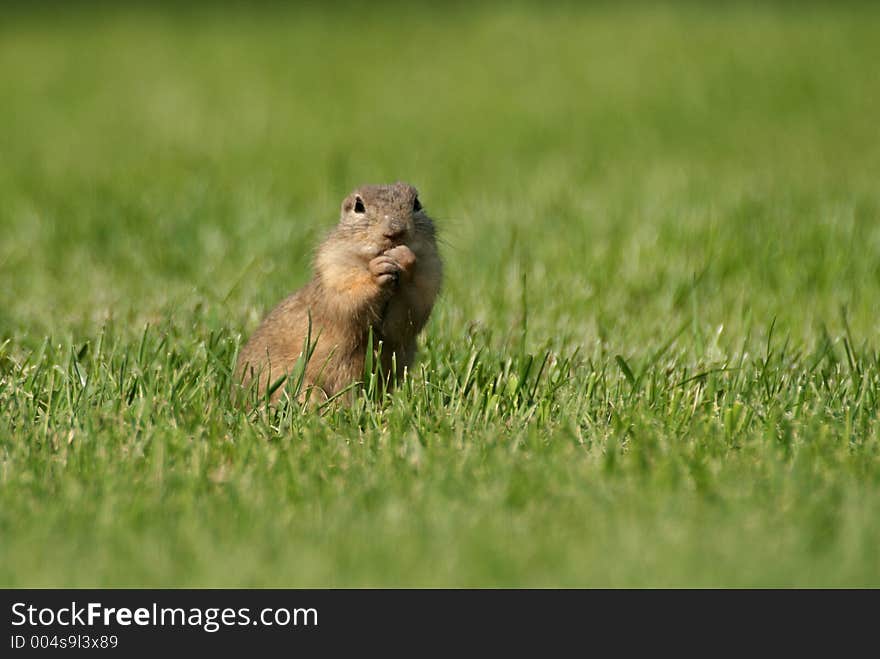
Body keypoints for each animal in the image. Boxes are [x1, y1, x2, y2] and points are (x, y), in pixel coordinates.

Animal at [235, 183, 444, 404]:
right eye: (359, 206)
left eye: (416, 203)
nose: (395, 231)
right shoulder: (334, 269)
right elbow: (347, 300)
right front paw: (377, 271)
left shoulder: (429, 277)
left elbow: (406, 316)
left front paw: (404, 257)